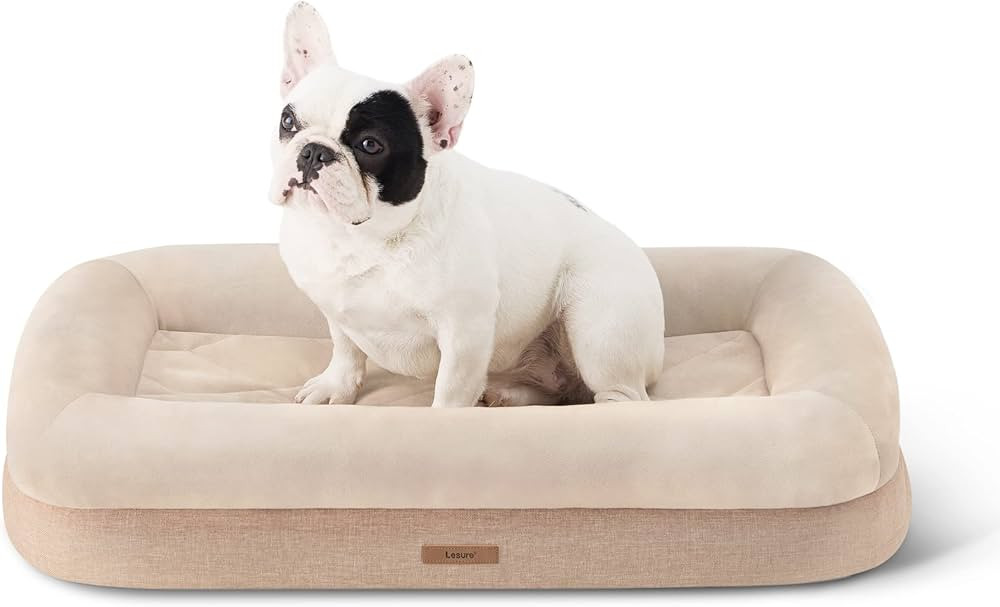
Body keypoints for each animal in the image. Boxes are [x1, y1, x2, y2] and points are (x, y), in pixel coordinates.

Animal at [271, 2, 665, 407]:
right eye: (287, 121)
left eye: (370, 145)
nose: (314, 152)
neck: (362, 241)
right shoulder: (336, 313)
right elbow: (346, 351)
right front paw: (335, 387)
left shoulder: (464, 332)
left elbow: (452, 388)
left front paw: (447, 416)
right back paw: (507, 394)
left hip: (599, 324)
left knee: (621, 394)